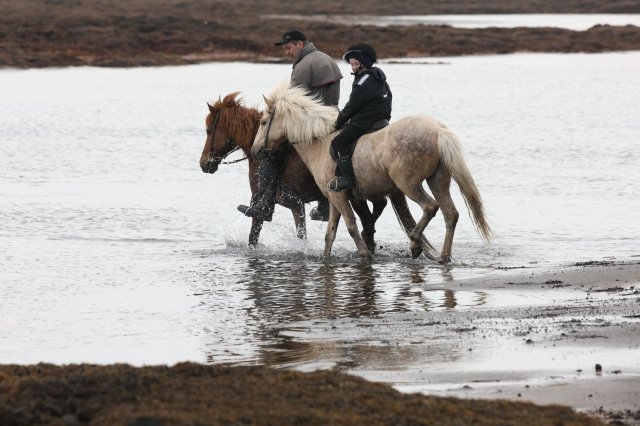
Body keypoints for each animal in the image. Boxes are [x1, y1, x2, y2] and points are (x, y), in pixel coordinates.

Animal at [199, 92, 436, 256]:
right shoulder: (296, 205)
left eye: (209, 130)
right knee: (374, 214)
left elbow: (258, 235)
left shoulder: (286, 204)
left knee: (371, 216)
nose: (204, 164)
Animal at [252, 84, 492, 262]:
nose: (256, 151)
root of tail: (439, 131)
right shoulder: (333, 197)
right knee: (450, 214)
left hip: (408, 184)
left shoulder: (339, 195)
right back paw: (443, 256)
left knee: (430, 207)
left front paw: (365, 254)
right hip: (438, 181)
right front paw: (326, 257)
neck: (321, 141)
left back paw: (415, 244)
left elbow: (351, 225)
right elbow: (331, 233)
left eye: (263, 122)